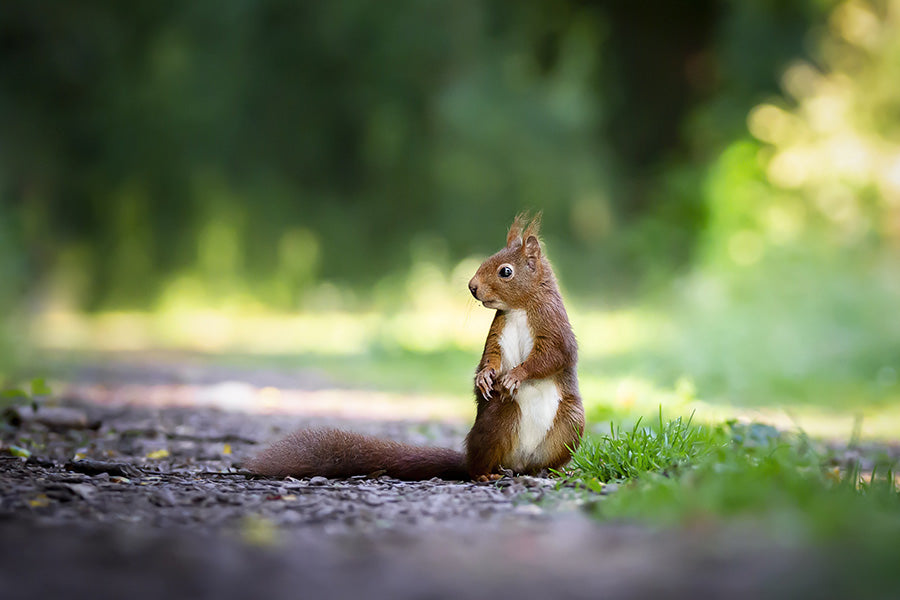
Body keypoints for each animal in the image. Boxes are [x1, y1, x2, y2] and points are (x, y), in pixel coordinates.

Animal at [246, 213, 584, 480]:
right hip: (500, 418)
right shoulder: (497, 332)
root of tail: (518, 463)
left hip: (571, 422)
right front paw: (484, 377)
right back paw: (485, 474)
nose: (472, 287)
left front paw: (515, 375)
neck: (519, 308)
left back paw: (550, 471)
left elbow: (553, 356)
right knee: (481, 463)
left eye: (505, 271)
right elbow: (491, 356)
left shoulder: (553, 326)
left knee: (542, 459)